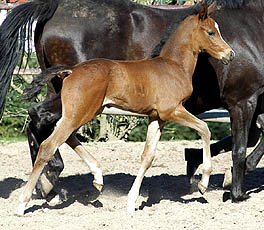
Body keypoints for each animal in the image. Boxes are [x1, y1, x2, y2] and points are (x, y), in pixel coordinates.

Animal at [0, 0, 264, 201]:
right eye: (211, 32)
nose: (230, 55)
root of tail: (55, 7)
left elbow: (252, 138)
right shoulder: (241, 100)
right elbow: (238, 145)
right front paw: (234, 192)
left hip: (65, 94)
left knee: (41, 121)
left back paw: (52, 184)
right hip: (81, 103)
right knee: (44, 121)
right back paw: (46, 184)